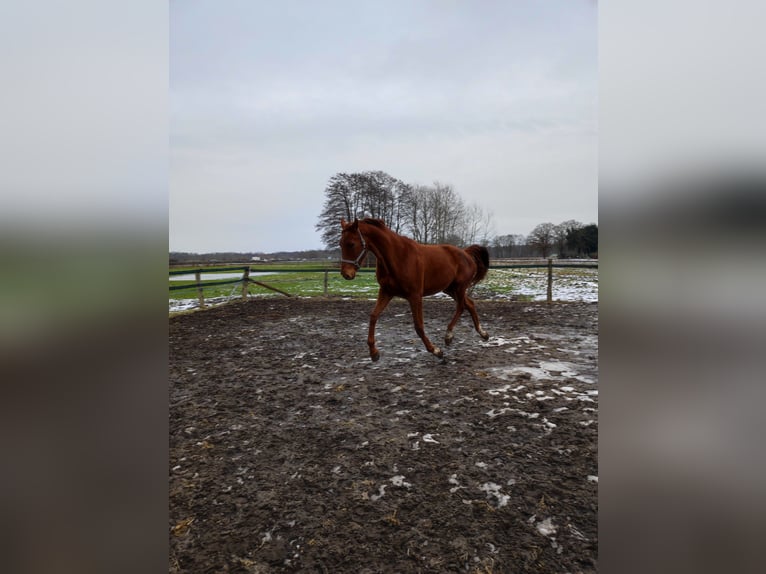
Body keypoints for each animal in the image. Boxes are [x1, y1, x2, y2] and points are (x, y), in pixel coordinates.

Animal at [339, 217, 490, 361]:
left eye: (351, 244)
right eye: (340, 244)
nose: (346, 274)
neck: (397, 257)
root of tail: (466, 253)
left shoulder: (415, 296)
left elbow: (418, 326)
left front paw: (436, 351)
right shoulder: (386, 292)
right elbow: (373, 316)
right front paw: (374, 353)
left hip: (460, 287)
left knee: (461, 306)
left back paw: (449, 336)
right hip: (449, 289)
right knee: (469, 304)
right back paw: (483, 334)